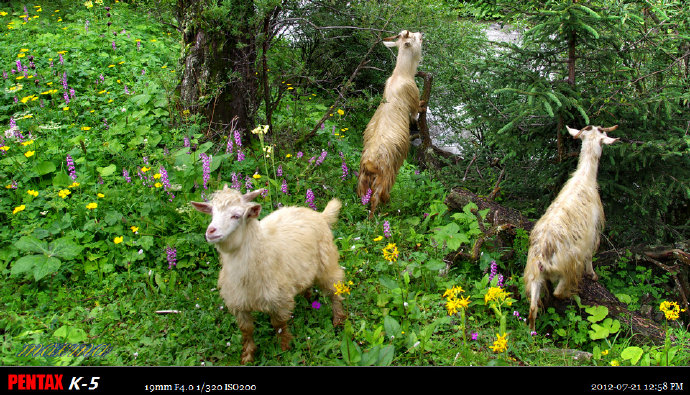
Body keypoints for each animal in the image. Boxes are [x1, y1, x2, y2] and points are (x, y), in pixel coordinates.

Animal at [191, 187, 346, 366]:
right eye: (212, 214)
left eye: (236, 215)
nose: (210, 231)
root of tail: (319, 215)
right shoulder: (238, 303)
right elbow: (246, 330)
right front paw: (247, 356)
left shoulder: (279, 300)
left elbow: (279, 325)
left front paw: (285, 349)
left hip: (327, 263)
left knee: (334, 289)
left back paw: (338, 319)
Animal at [358, 29, 422, 218]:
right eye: (413, 37)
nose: (421, 34)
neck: (400, 74)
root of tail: (370, 162)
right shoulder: (413, 100)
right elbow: (417, 111)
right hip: (386, 176)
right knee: (377, 198)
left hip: (363, 179)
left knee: (363, 197)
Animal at [520, 124, 620, 332]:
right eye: (603, 140)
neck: (584, 178)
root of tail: (542, 257)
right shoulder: (593, 231)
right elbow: (590, 255)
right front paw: (593, 275)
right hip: (568, 267)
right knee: (558, 292)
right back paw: (571, 292)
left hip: (533, 276)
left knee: (533, 308)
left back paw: (532, 331)